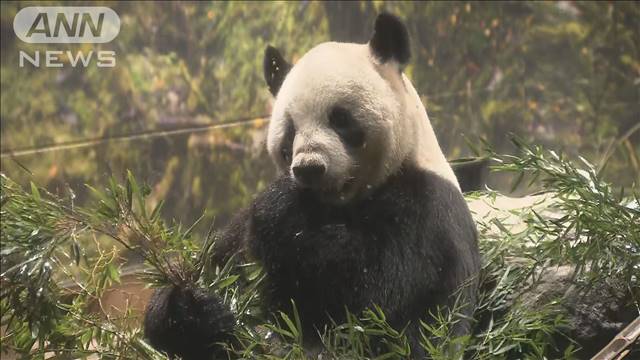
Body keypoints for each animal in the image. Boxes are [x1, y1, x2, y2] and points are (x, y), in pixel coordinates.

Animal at [144, 12, 480, 358]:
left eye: (340, 119)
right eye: (290, 131)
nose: (309, 168)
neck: (338, 204)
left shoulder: (425, 210)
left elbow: (372, 299)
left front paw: (283, 212)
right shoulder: (239, 230)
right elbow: (205, 277)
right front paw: (199, 308)